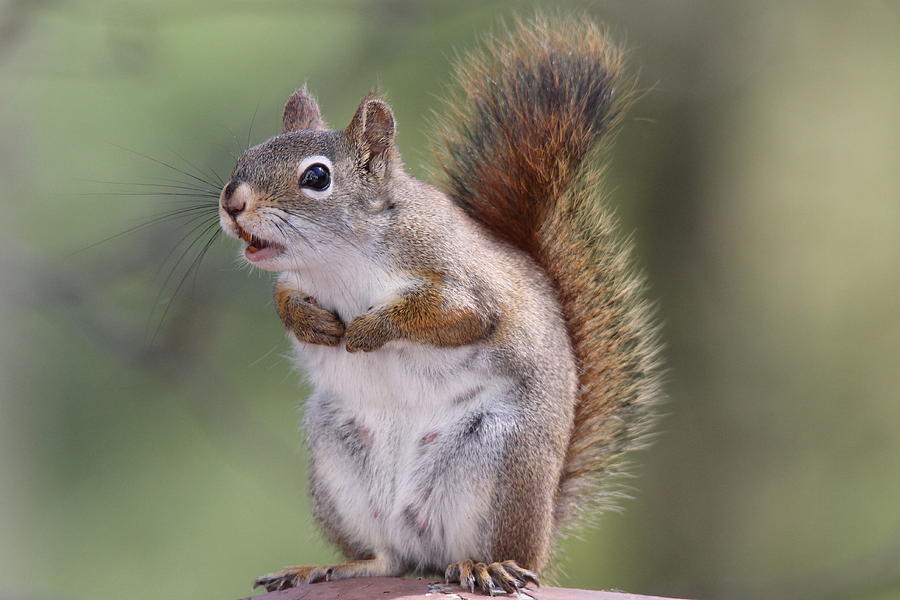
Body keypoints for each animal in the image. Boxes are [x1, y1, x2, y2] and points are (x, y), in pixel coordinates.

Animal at [218, 15, 660, 596]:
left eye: (316, 177)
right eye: (244, 159)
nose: (232, 201)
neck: (338, 262)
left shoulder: (459, 278)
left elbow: (454, 317)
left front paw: (368, 330)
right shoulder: (293, 280)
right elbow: (284, 300)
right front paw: (312, 324)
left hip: (500, 464)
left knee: (494, 550)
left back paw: (487, 566)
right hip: (339, 465)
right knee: (387, 558)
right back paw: (327, 566)